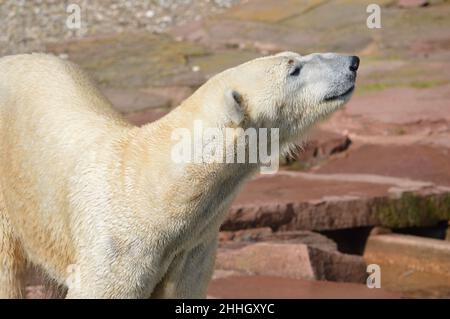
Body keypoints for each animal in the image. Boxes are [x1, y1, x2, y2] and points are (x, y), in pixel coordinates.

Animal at [0, 51, 358, 298]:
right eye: (293, 68)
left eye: (297, 58)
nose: (353, 62)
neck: (156, 193)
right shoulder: (118, 248)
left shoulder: (192, 247)